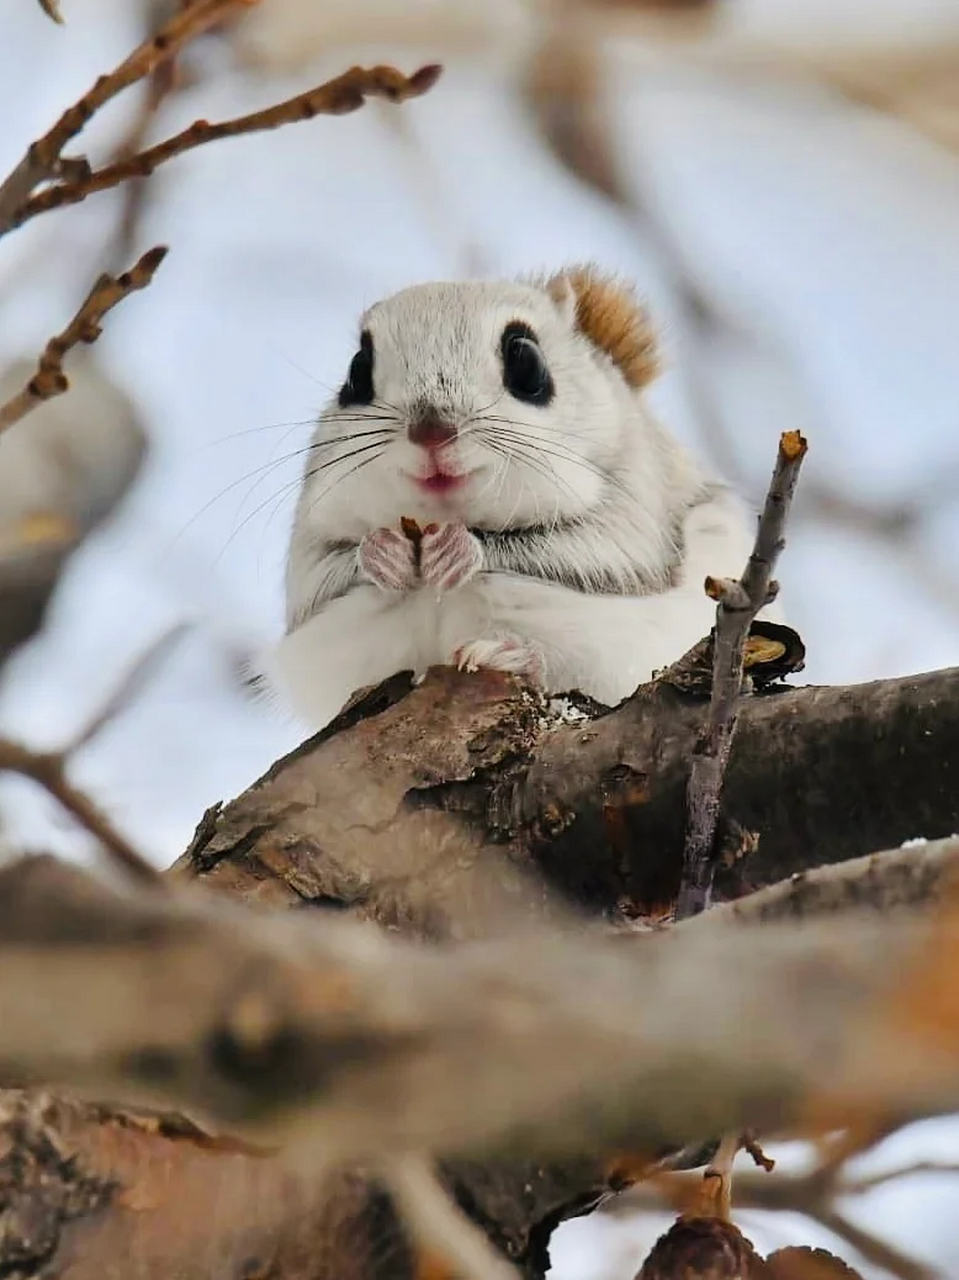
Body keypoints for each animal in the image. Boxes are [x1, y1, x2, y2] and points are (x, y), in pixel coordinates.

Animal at [268, 267, 757, 732]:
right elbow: (318, 576)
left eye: (528, 364)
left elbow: (602, 553)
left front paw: (460, 550)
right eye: (356, 371)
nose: (431, 431)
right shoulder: (310, 546)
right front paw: (383, 553)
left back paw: (507, 655)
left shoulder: (634, 505)